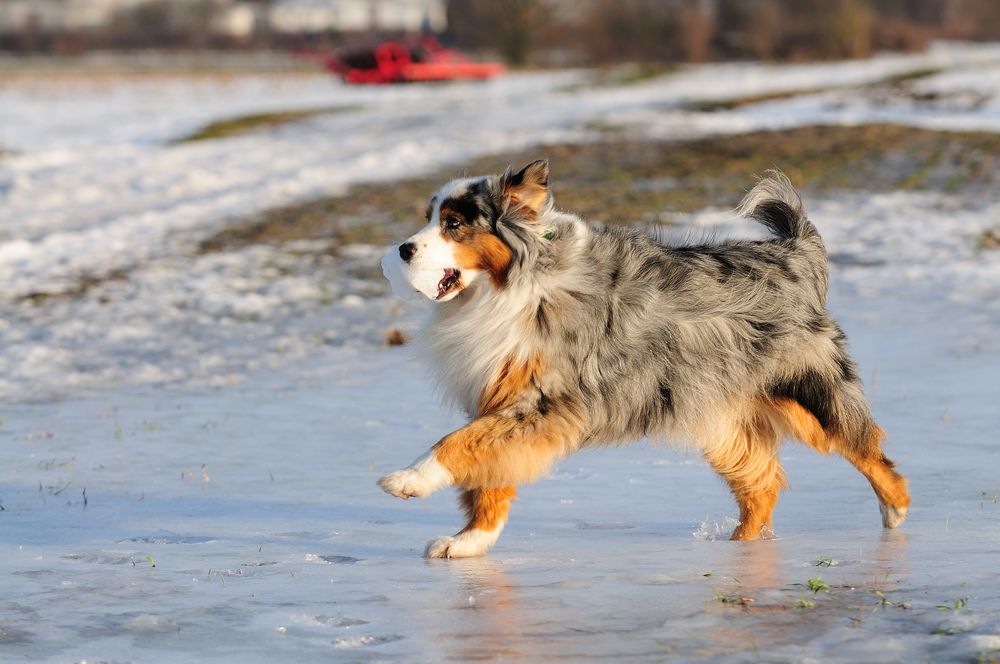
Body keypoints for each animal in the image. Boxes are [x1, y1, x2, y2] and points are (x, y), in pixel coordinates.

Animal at [376, 163, 908, 556]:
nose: (402, 249)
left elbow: (458, 443)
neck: (515, 287)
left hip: (808, 396)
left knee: (867, 447)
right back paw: (739, 545)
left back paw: (896, 510)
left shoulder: (542, 402)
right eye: (430, 217)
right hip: (720, 417)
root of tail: (792, 253)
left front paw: (408, 480)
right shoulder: (501, 401)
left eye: (454, 224)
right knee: (763, 483)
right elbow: (488, 470)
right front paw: (469, 541)